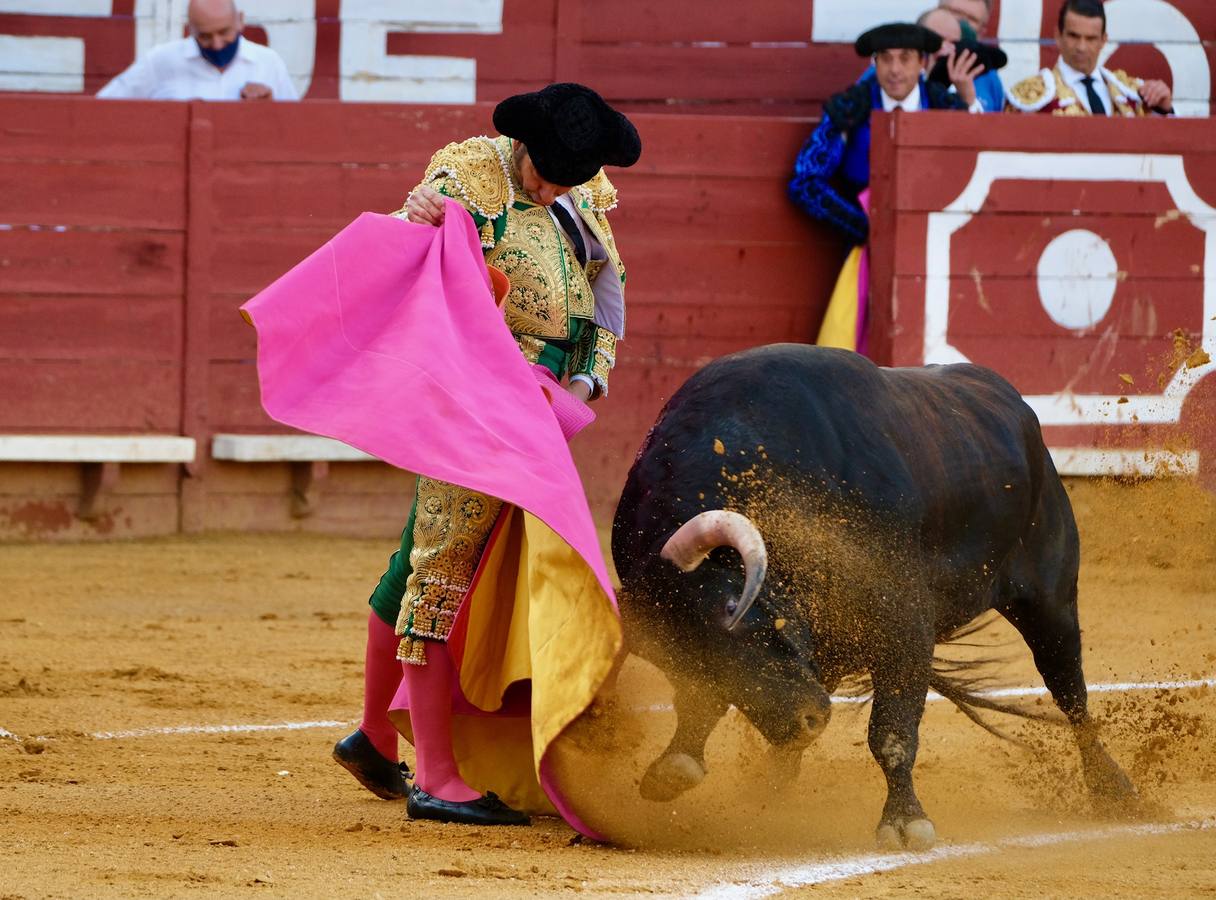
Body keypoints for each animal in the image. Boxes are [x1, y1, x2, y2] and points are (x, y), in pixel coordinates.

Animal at [612, 345, 1133, 851]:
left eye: (731, 611)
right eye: (676, 661)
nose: (807, 720)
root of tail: (1017, 408)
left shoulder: (904, 622)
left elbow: (892, 732)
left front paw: (906, 822)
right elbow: (700, 704)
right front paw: (677, 765)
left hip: (1051, 600)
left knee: (1070, 692)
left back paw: (1115, 790)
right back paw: (771, 784)